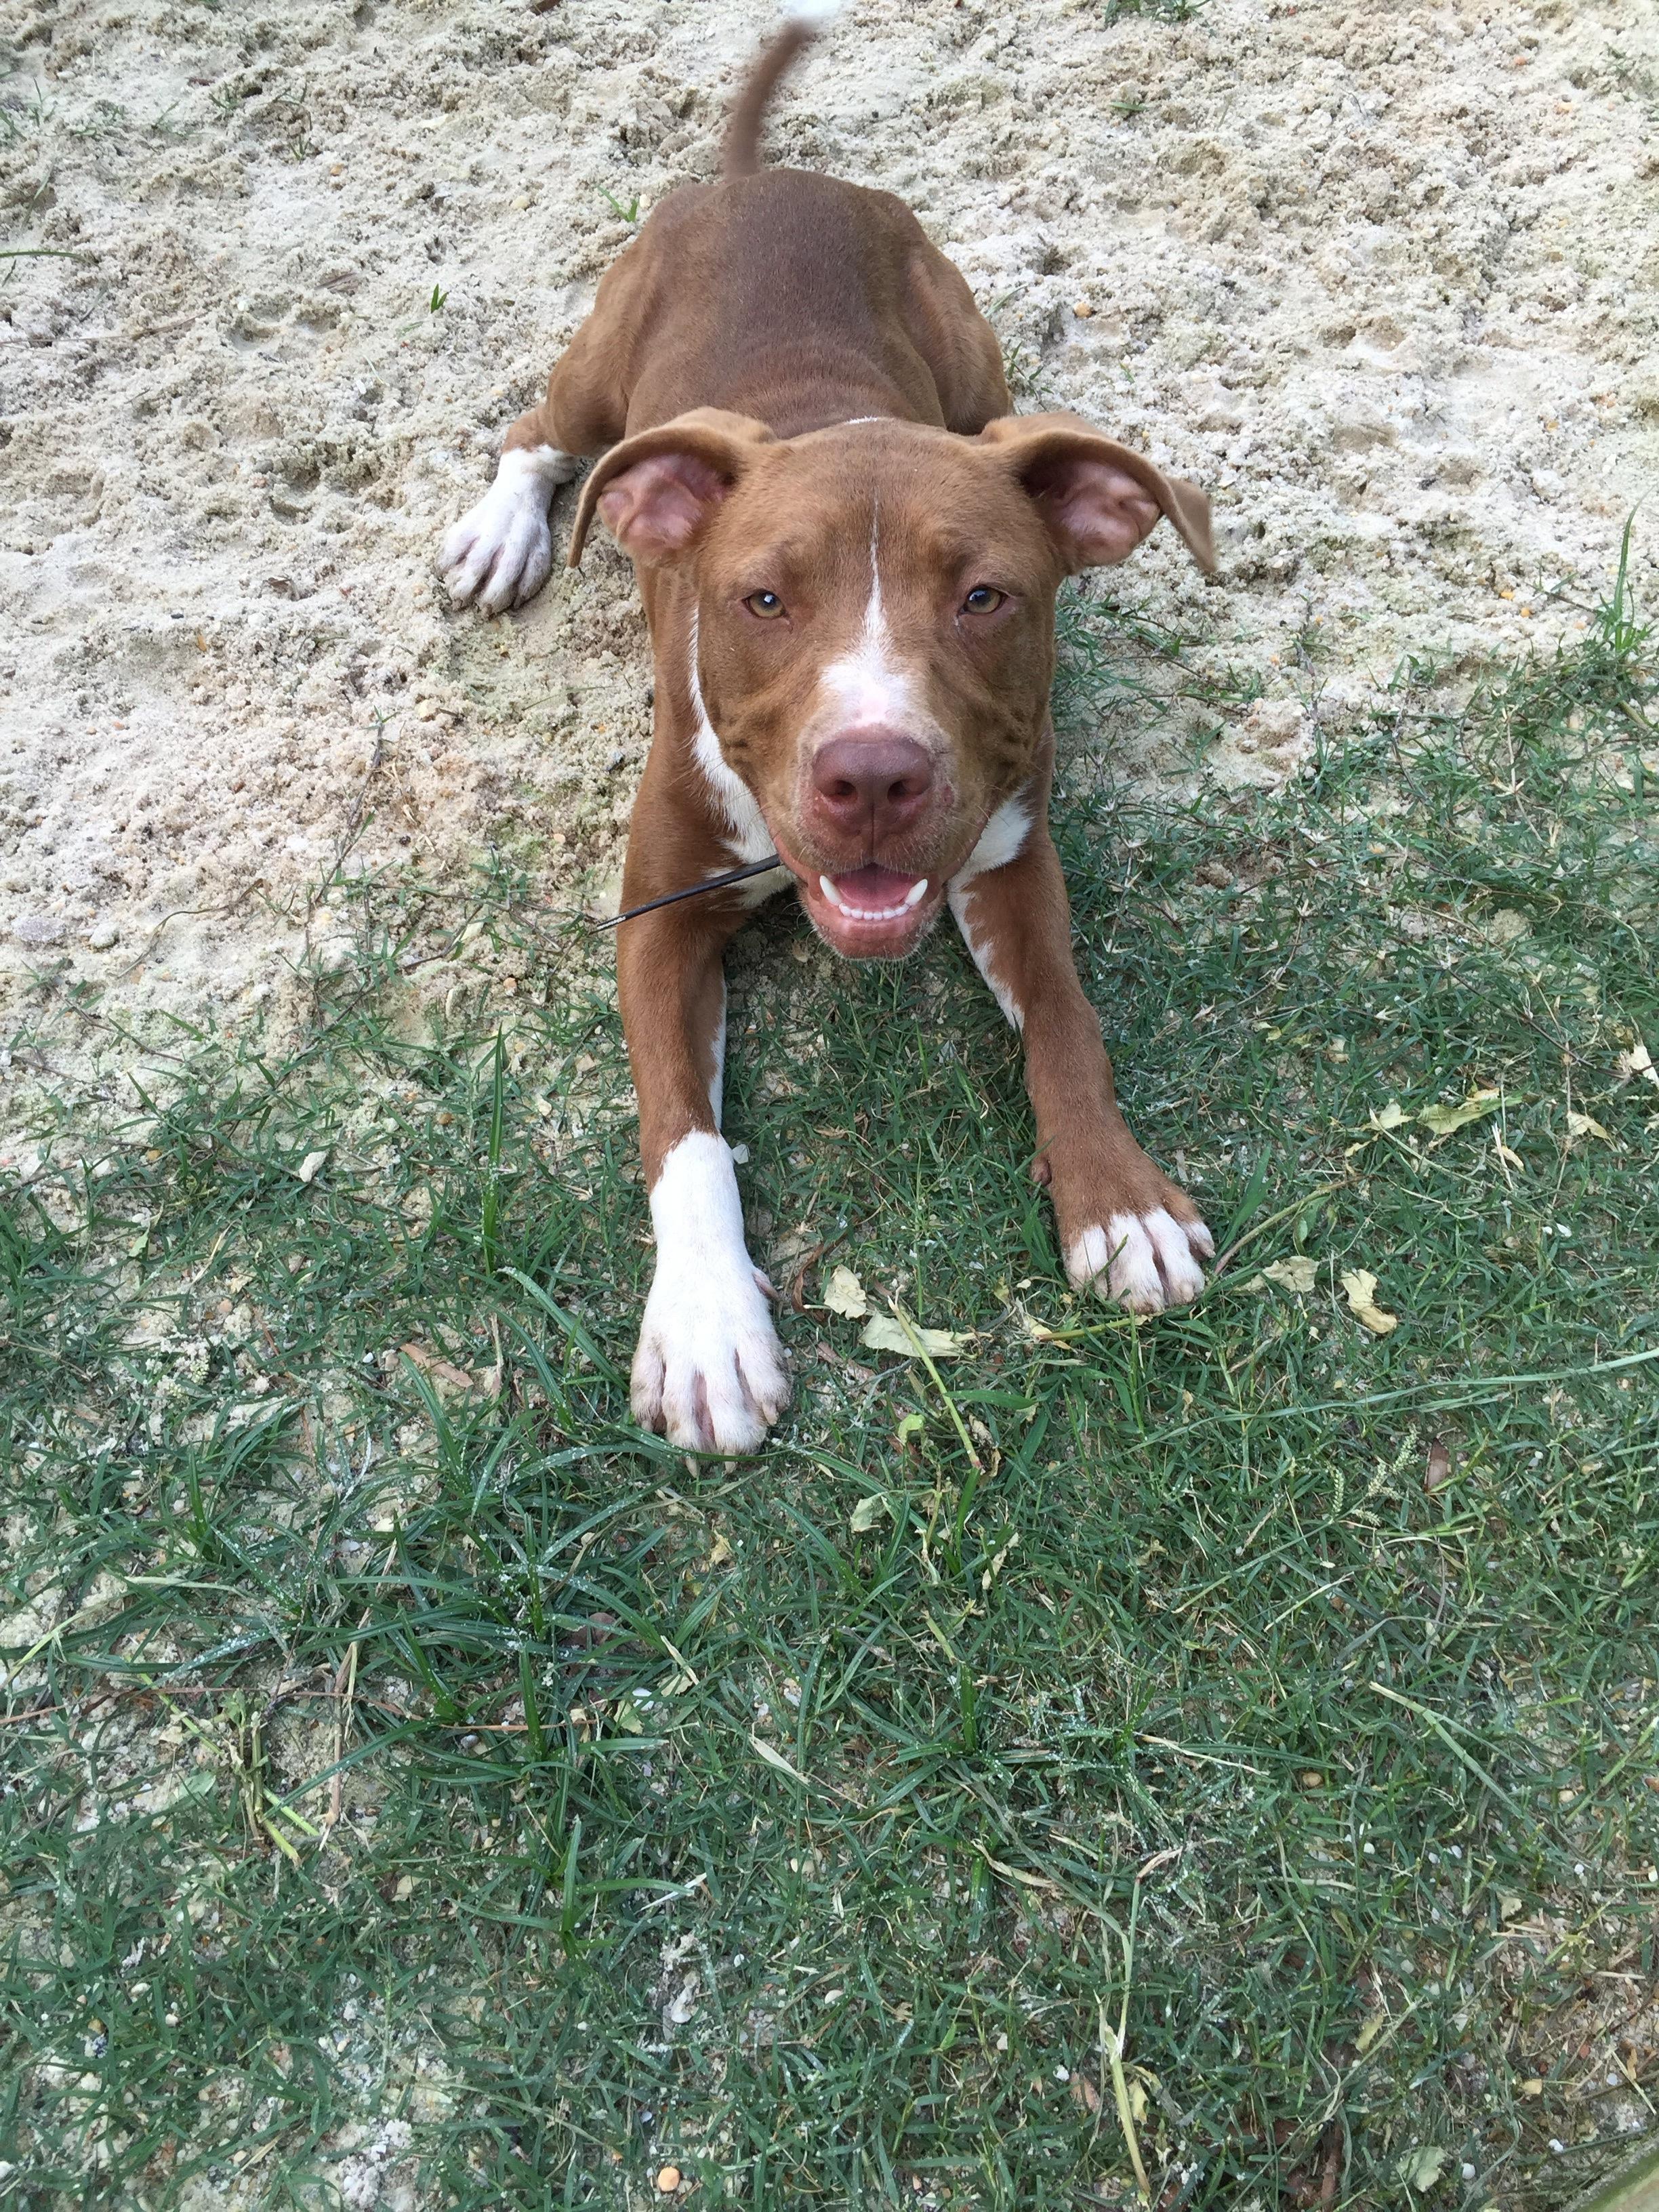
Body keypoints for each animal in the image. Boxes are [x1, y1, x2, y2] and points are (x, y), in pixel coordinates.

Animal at [442, 8, 1221, 1460]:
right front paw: (707, 1325)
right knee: (536, 431)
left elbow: (1066, 1019)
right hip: (599, 371)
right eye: (762, 599)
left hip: (970, 356)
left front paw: (1119, 1198)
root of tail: (768, 177)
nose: (871, 774)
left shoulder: (1005, 857)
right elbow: (682, 1134)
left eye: (984, 597)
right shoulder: (657, 919)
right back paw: (502, 530)